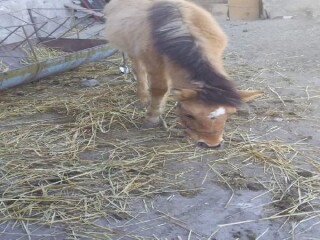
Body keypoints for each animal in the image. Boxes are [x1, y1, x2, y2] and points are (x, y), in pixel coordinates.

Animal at [104, 0, 262, 148]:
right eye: (189, 115)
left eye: (229, 114)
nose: (212, 145)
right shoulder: (154, 62)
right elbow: (159, 89)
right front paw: (152, 118)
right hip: (132, 50)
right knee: (139, 70)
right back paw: (142, 97)